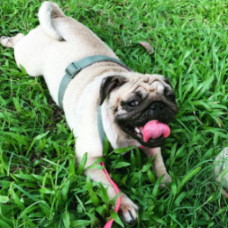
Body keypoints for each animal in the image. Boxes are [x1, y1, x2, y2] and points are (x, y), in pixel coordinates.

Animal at [0, 1, 178, 223]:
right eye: (133, 102)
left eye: (170, 97)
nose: (158, 105)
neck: (122, 136)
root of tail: (58, 18)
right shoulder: (91, 159)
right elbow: (111, 188)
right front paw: (125, 205)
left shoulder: (151, 145)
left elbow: (158, 161)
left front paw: (165, 181)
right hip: (27, 63)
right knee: (19, 40)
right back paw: (7, 40)